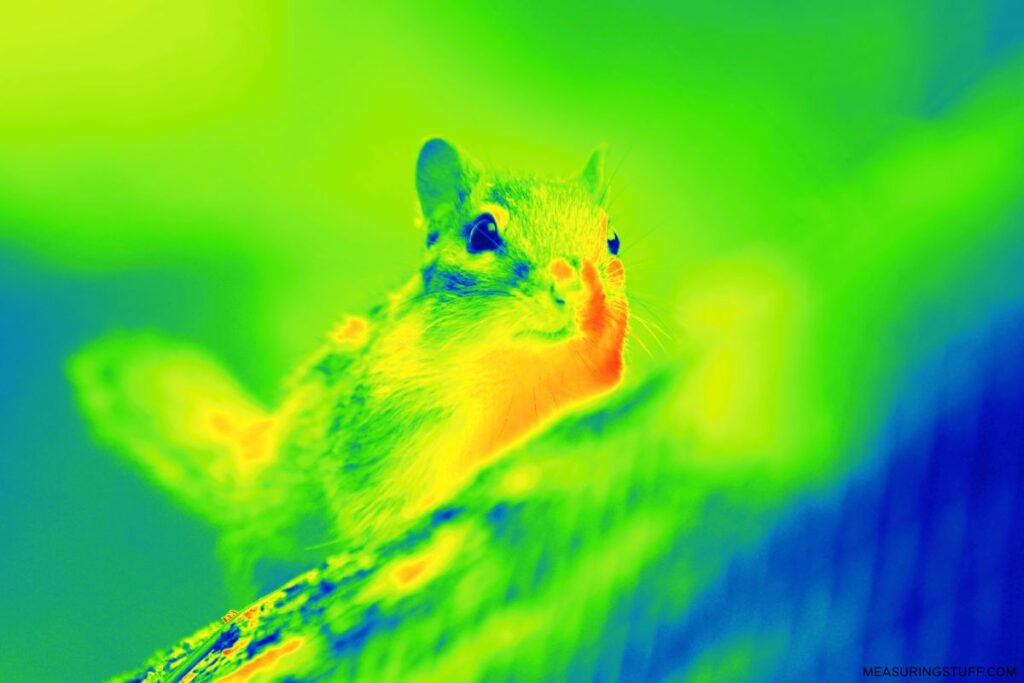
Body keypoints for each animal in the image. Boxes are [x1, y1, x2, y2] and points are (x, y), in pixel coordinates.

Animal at [70, 138, 628, 594]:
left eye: (613, 240)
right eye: (482, 233)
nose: (573, 286)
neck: (525, 376)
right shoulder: (373, 443)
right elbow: (374, 518)